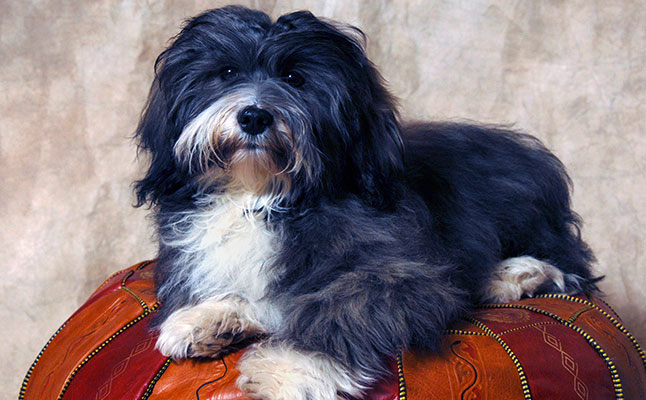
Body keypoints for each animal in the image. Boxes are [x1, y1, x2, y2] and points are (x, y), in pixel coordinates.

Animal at [133, 6, 600, 399]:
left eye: (295, 79)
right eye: (227, 73)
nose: (253, 116)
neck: (263, 196)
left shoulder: (393, 273)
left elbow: (342, 307)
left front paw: (289, 369)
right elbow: (274, 296)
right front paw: (209, 319)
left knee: (570, 266)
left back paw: (514, 274)